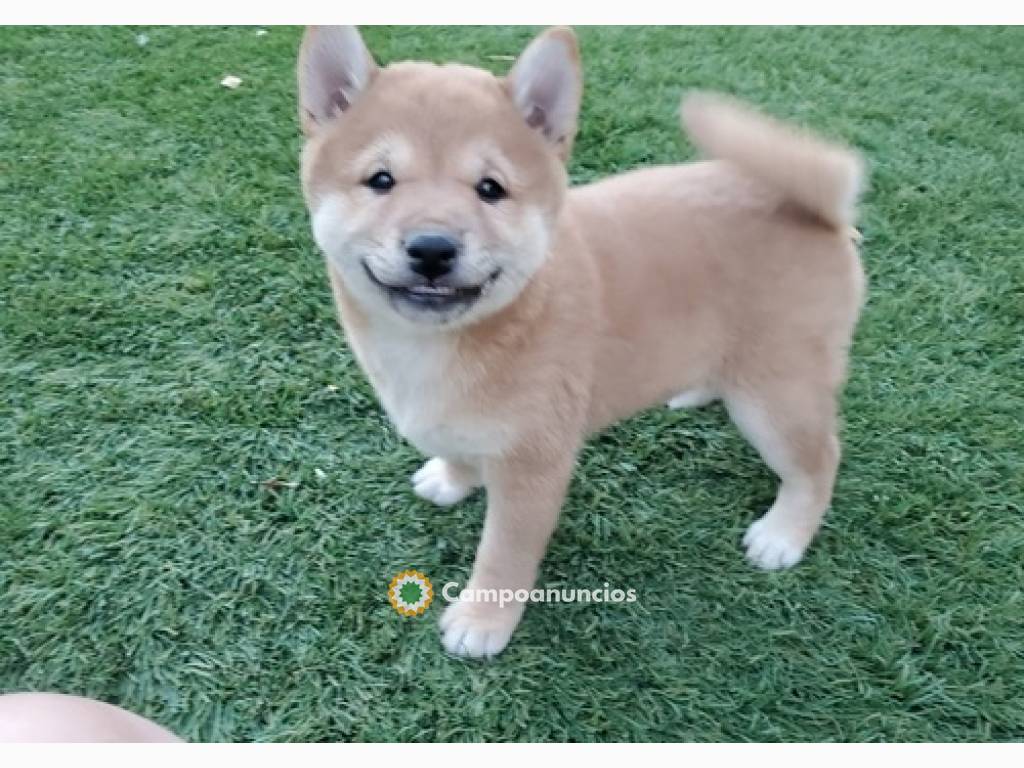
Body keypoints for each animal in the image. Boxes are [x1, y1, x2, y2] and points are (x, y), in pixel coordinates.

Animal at [296, 27, 864, 659]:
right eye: (381, 180)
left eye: (490, 189)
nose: (433, 248)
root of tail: (819, 210)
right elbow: (459, 448)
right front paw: (451, 479)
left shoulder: (533, 466)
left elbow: (503, 555)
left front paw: (482, 620)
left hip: (776, 399)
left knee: (820, 460)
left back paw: (785, 534)